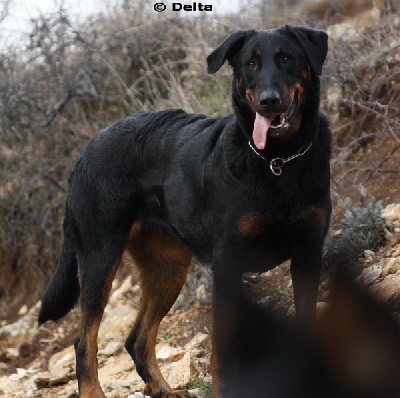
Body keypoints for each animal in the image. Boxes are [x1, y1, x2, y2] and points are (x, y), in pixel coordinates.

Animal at [38, 25, 332, 398]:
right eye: (250, 63)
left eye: (287, 58)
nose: (269, 101)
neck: (277, 161)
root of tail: (84, 152)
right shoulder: (228, 264)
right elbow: (224, 348)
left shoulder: (308, 255)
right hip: (99, 259)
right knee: (83, 340)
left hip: (169, 267)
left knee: (137, 339)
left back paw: (163, 389)